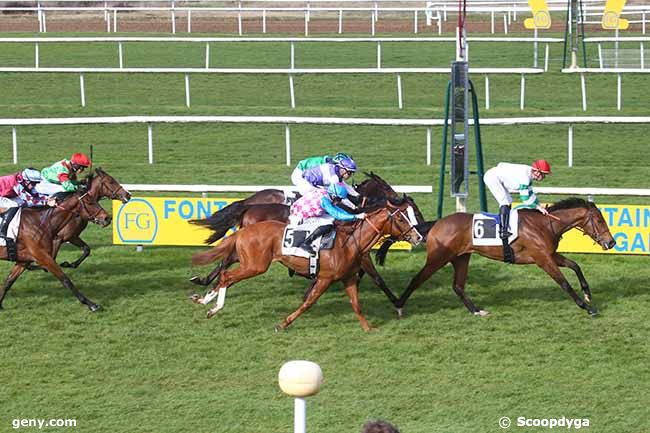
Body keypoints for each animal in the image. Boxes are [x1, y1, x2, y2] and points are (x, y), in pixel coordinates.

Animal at [189, 197, 420, 330]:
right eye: (401, 218)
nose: (418, 237)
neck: (350, 241)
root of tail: (245, 229)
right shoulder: (325, 278)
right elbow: (309, 302)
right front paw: (283, 324)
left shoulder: (348, 277)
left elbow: (357, 304)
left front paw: (369, 328)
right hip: (255, 266)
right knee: (226, 275)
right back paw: (212, 306)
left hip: (249, 263)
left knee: (225, 274)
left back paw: (204, 299)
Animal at [394, 197, 612, 316]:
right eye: (600, 220)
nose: (611, 243)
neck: (545, 224)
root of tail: (437, 223)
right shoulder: (543, 259)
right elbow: (564, 283)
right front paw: (587, 307)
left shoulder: (550, 254)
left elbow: (575, 265)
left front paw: (587, 293)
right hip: (438, 258)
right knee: (417, 279)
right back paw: (399, 306)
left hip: (461, 257)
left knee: (458, 286)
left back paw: (477, 310)